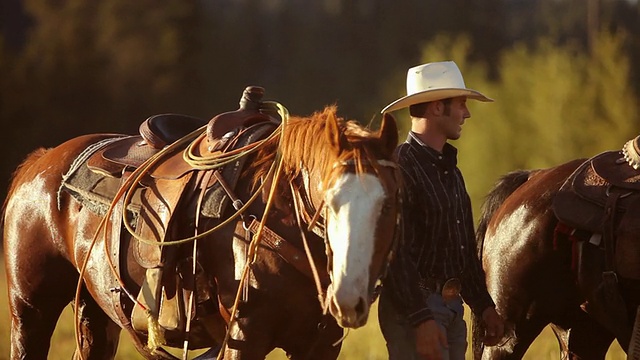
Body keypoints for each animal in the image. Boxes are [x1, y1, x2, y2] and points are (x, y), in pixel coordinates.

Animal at [2, 88, 402, 360]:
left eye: (389, 205)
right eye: (328, 203)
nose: (348, 298)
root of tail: (39, 163)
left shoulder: (322, 344)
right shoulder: (244, 338)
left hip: (97, 312)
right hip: (30, 310)